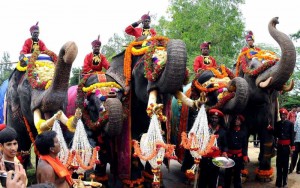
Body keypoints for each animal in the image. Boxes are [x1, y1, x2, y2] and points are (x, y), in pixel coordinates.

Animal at [234, 17, 296, 179]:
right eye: (252, 66)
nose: (276, 20)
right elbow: (242, 134)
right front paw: (242, 174)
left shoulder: (269, 109)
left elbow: (267, 135)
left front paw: (264, 176)